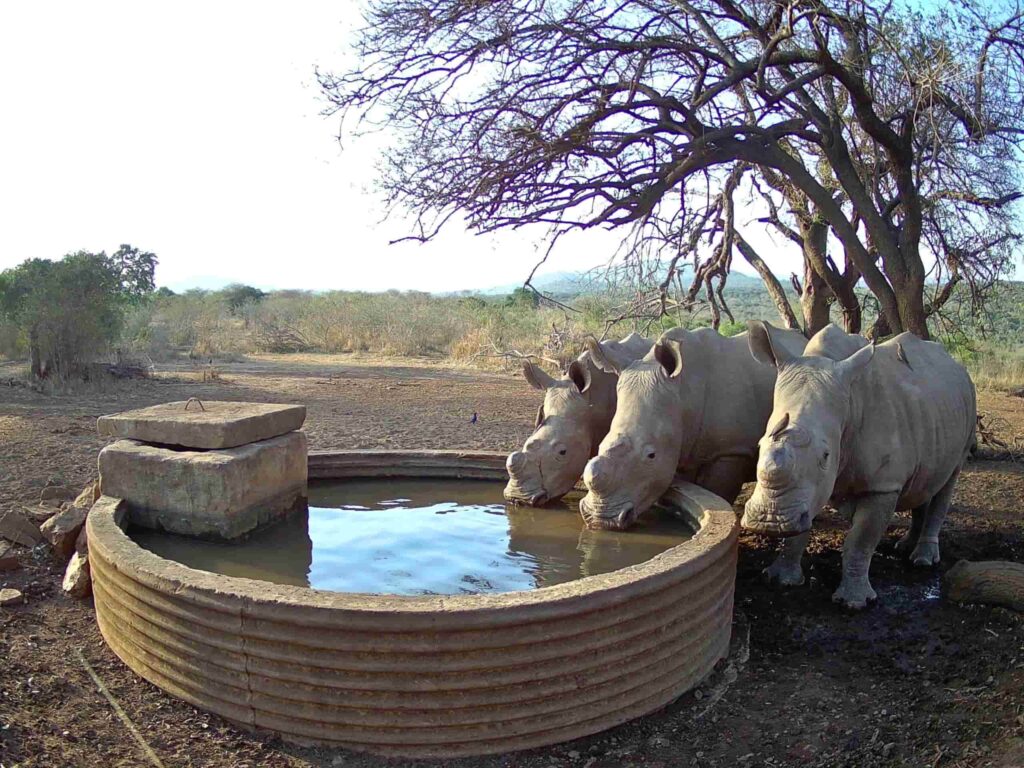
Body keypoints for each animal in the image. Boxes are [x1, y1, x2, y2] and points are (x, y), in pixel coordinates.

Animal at [579, 324, 808, 530]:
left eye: (651, 455)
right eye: (600, 446)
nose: (601, 519)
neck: (683, 393)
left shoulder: (730, 451)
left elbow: (718, 491)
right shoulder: (683, 446)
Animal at [742, 322, 977, 609]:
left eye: (826, 456)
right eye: (759, 446)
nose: (770, 520)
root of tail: (957, 366)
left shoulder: (882, 485)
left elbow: (860, 540)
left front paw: (854, 603)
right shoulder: (804, 494)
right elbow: (798, 529)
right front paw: (780, 580)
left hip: (970, 406)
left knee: (949, 480)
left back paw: (923, 561)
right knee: (925, 480)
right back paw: (905, 548)